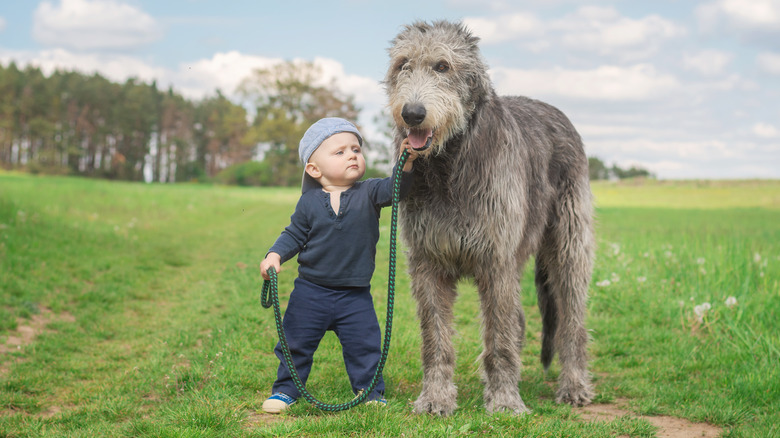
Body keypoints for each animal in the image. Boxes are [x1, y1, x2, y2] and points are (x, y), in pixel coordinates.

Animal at [386, 20, 596, 416]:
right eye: (402, 64)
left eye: (442, 66)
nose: (412, 113)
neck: (448, 165)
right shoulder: (426, 261)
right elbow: (435, 337)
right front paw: (436, 397)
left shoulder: (498, 260)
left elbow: (500, 338)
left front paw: (505, 401)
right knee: (520, 320)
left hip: (570, 243)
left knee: (570, 317)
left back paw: (574, 384)